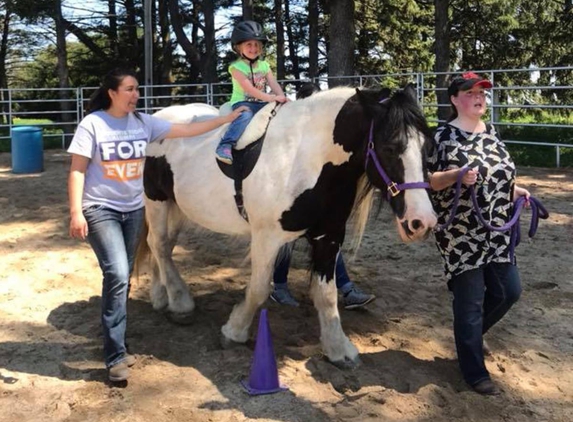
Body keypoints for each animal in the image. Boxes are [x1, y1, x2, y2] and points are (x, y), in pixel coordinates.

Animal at [141, 85, 436, 366]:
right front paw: (234, 331)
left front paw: (339, 350)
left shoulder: (329, 237)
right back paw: (179, 303)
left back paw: (160, 296)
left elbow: (327, 295)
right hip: (156, 200)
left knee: (161, 246)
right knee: (159, 244)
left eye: (427, 149)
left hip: (177, 207)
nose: (422, 221)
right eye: (390, 147)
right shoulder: (266, 238)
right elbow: (259, 289)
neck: (305, 159)